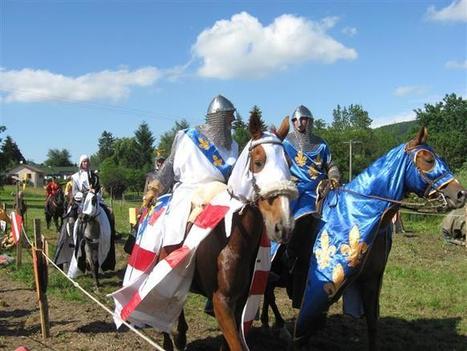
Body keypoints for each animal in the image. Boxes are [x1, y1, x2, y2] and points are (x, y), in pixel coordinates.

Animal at [160, 113, 296, 351]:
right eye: (258, 163)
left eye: (289, 164)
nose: (283, 226)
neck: (233, 236)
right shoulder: (221, 301)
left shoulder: (239, 301)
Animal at [262, 127, 466, 351]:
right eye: (428, 159)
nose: (460, 194)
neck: (360, 211)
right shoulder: (316, 287)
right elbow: (304, 333)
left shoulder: (371, 281)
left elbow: (372, 324)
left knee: (268, 292)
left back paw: (272, 324)